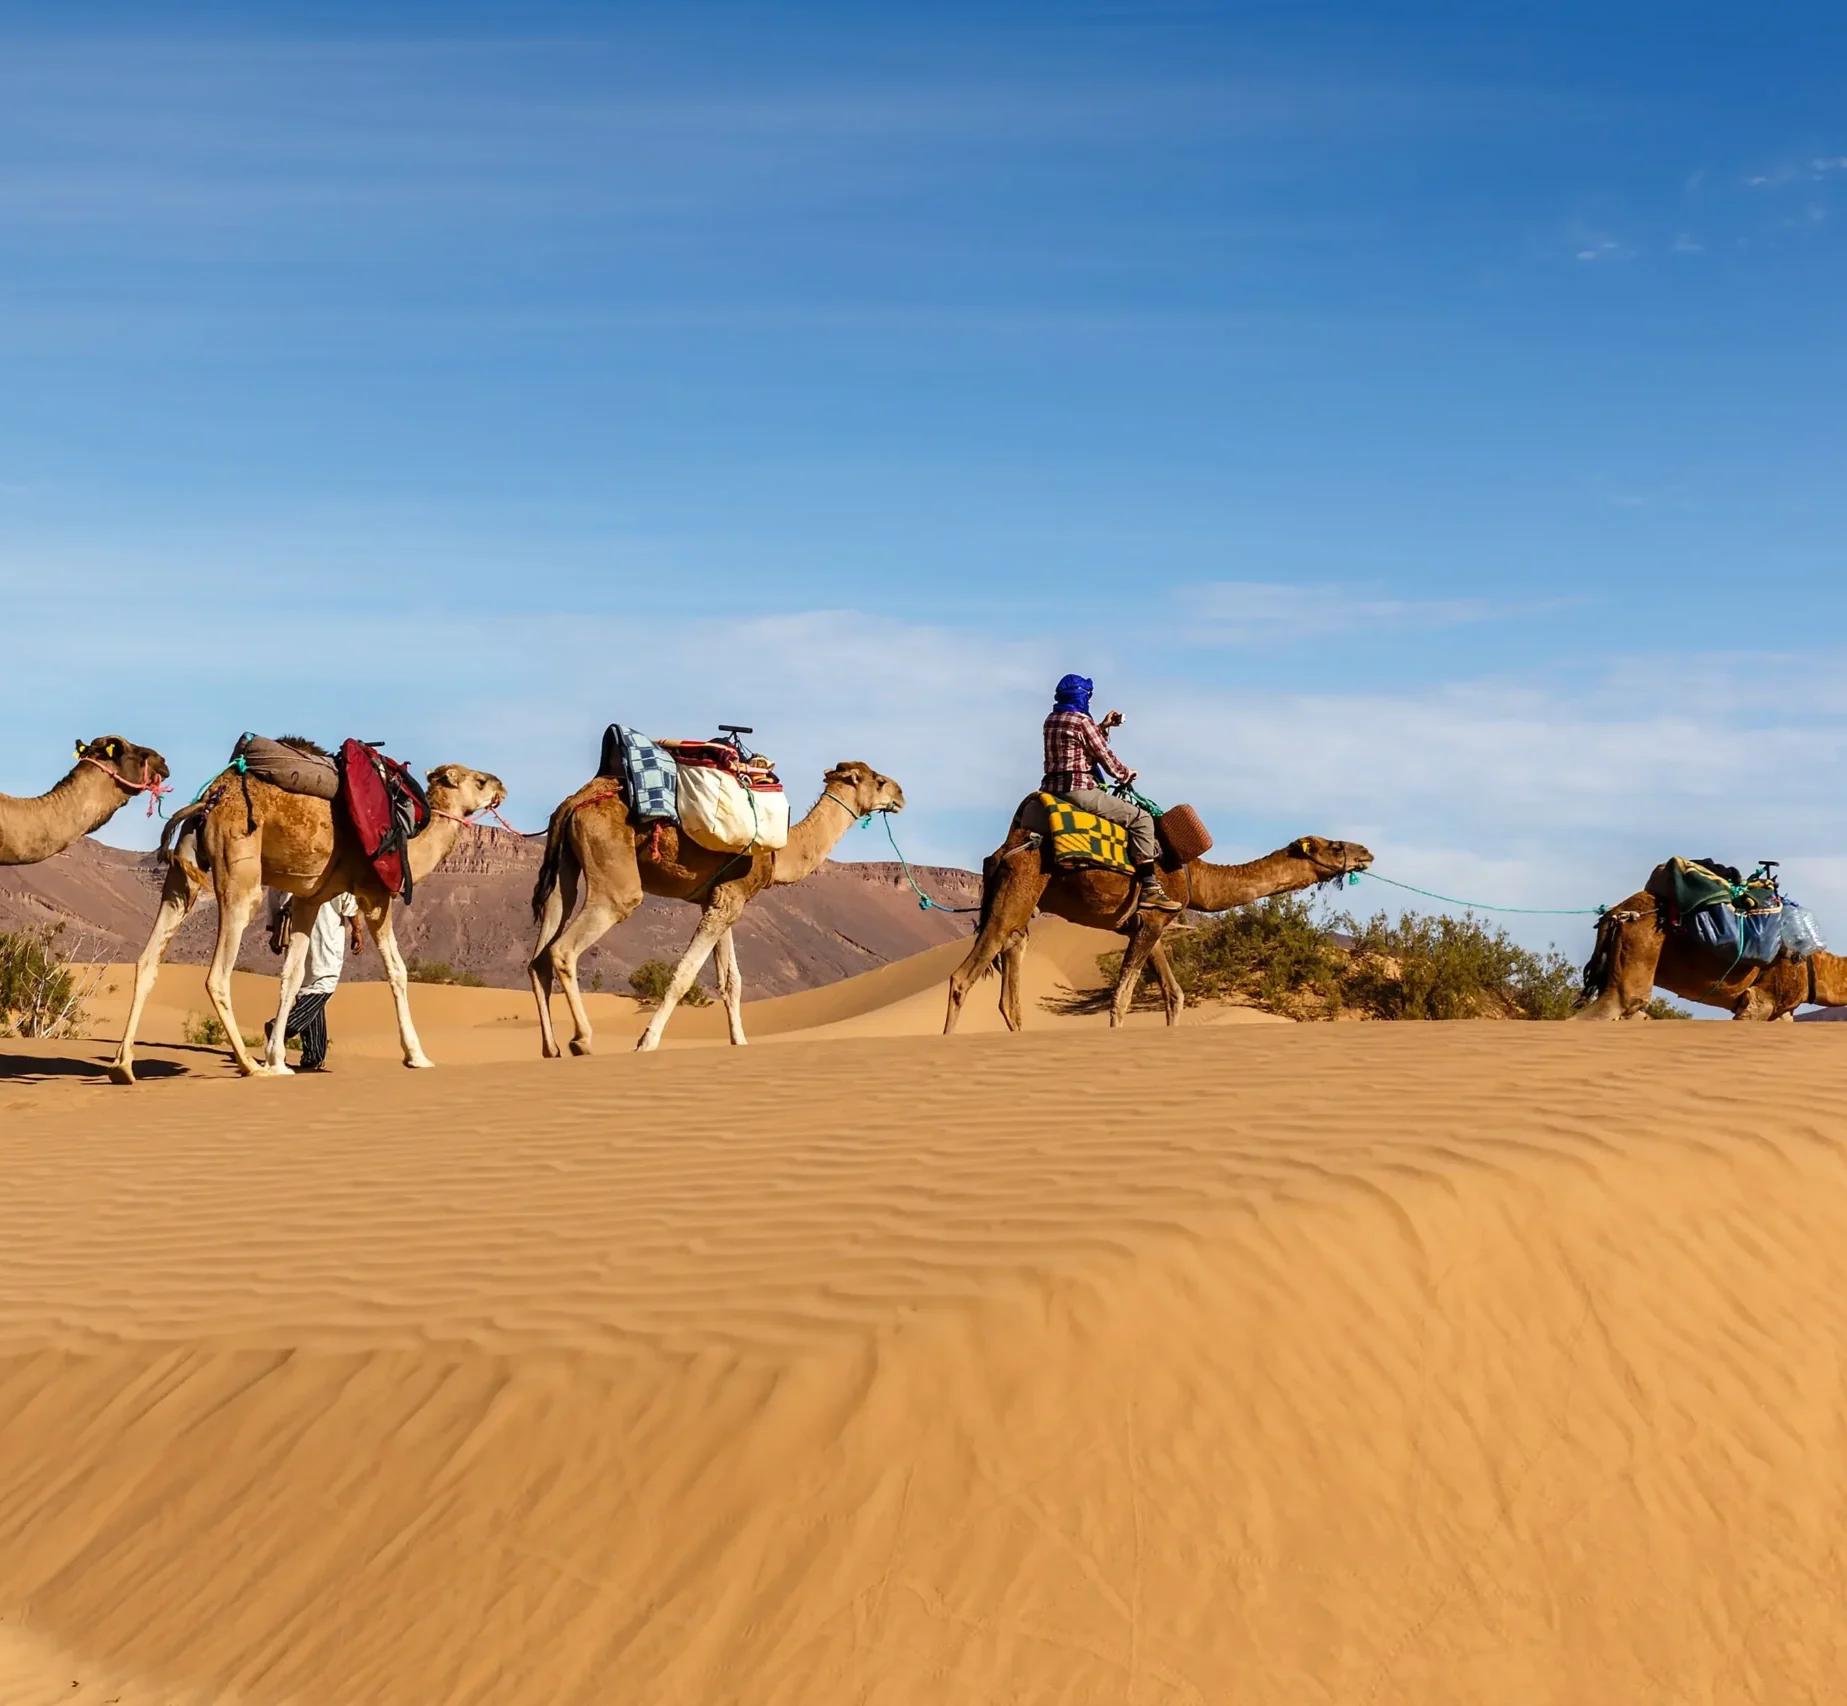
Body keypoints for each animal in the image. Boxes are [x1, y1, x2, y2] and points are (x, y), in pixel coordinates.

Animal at [108, 748, 506, 1083]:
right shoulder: (375, 895)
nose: (501, 785)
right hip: (239, 872)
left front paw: (278, 1059)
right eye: (479, 781)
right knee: (217, 974)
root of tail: (210, 800)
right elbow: (398, 971)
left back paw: (123, 1066)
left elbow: (292, 974)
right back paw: (249, 1065)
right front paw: (417, 1057)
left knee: (148, 959)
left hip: (182, 876)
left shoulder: (311, 898)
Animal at [529, 760, 905, 1055]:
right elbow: (683, 975)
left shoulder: (720, 898)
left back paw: (551, 1049)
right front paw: (647, 1042)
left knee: (540, 955)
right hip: (614, 875)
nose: (900, 795)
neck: (781, 854)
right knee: (566, 947)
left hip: (564, 869)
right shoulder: (728, 900)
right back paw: (582, 1040)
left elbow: (731, 982)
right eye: (878, 780)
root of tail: (576, 801)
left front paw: (740, 1042)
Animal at [944, 804, 1374, 1032]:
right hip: (1018, 889)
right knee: (963, 976)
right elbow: (1121, 997)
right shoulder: (1151, 920)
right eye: (1336, 846)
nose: (1366, 852)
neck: (1197, 878)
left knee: (1010, 984)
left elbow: (1174, 993)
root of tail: (1002, 852)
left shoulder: (1148, 924)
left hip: (1021, 906)